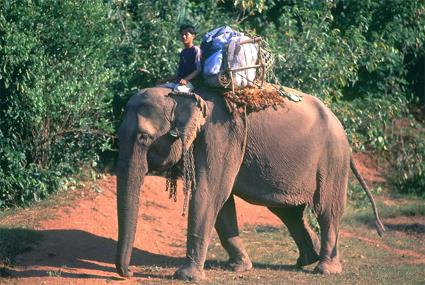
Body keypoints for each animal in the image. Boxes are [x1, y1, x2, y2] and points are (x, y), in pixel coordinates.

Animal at [115, 85, 384, 280]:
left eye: (143, 137)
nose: (129, 272)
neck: (181, 93)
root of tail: (343, 130)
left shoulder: (221, 134)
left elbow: (210, 193)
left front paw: (186, 276)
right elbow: (222, 202)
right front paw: (239, 268)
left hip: (332, 160)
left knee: (327, 210)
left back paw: (325, 268)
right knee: (289, 213)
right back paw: (308, 260)